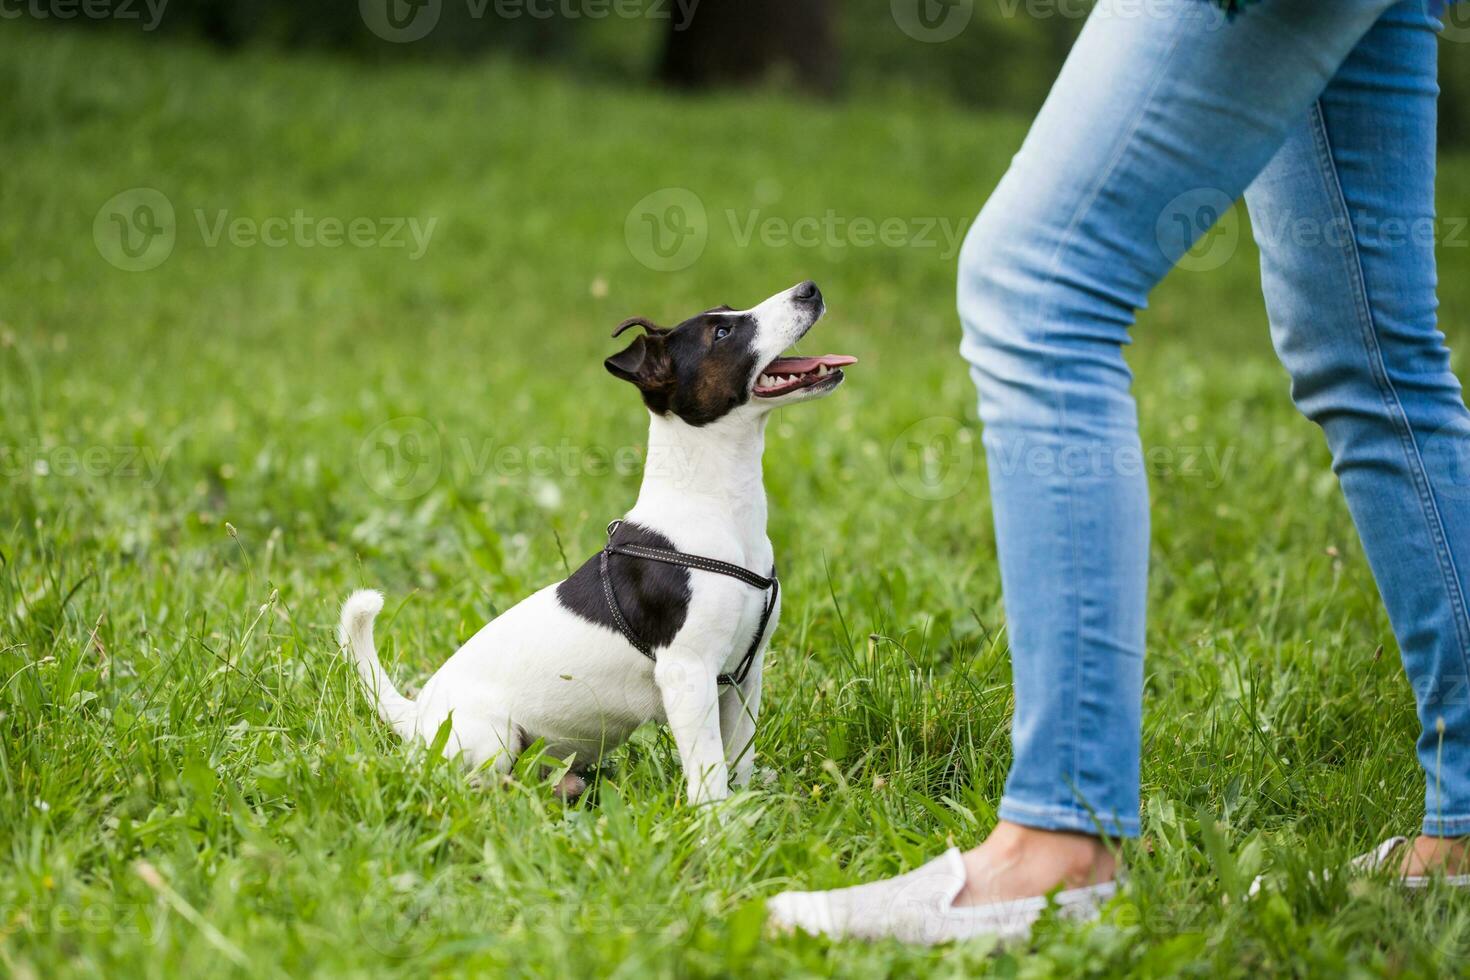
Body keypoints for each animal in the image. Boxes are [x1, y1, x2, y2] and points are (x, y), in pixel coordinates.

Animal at [338, 279, 858, 799]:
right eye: (723, 332)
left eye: (729, 311)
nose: (808, 289)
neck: (716, 508)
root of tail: (417, 715)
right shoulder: (688, 675)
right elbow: (708, 772)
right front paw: (715, 819)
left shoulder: (744, 678)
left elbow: (739, 759)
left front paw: (749, 806)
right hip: (488, 738)